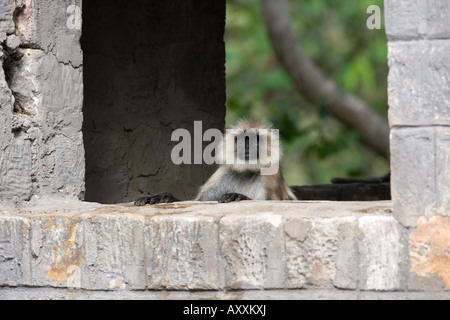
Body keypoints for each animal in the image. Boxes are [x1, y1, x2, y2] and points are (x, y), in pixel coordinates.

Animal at [134, 119, 296, 206]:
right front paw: (159, 197)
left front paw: (239, 196)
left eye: (255, 139)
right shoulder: (223, 174)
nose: (247, 145)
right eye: (241, 139)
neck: (247, 171)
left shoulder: (270, 176)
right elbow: (198, 202)